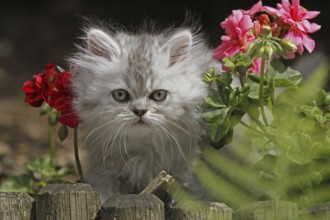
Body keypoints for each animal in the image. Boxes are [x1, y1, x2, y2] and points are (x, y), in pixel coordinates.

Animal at [69, 22, 219, 203]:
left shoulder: (189, 175)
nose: (139, 111)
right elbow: (104, 194)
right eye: (121, 95)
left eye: (159, 95)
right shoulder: (102, 172)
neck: (143, 152)